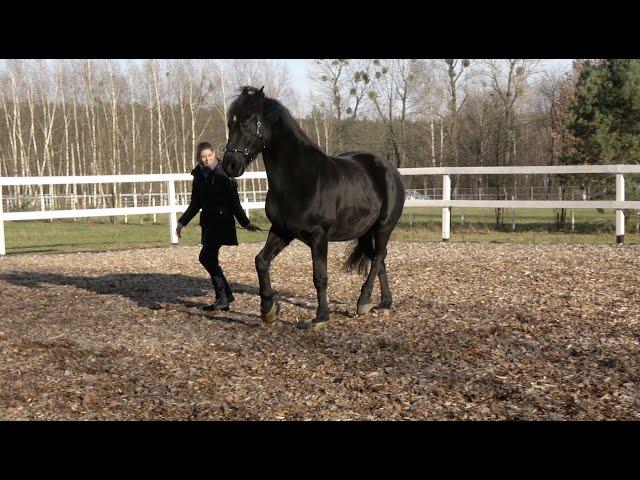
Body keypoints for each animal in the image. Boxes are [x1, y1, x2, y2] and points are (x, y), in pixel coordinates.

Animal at [222, 85, 402, 330]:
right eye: (230, 124)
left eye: (246, 123)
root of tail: (390, 169)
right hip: (365, 231)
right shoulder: (282, 231)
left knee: (378, 258)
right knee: (379, 259)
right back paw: (383, 302)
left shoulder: (319, 236)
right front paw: (268, 309)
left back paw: (363, 301)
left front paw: (321, 316)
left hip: (384, 227)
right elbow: (261, 261)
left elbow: (320, 277)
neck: (299, 179)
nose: (229, 165)